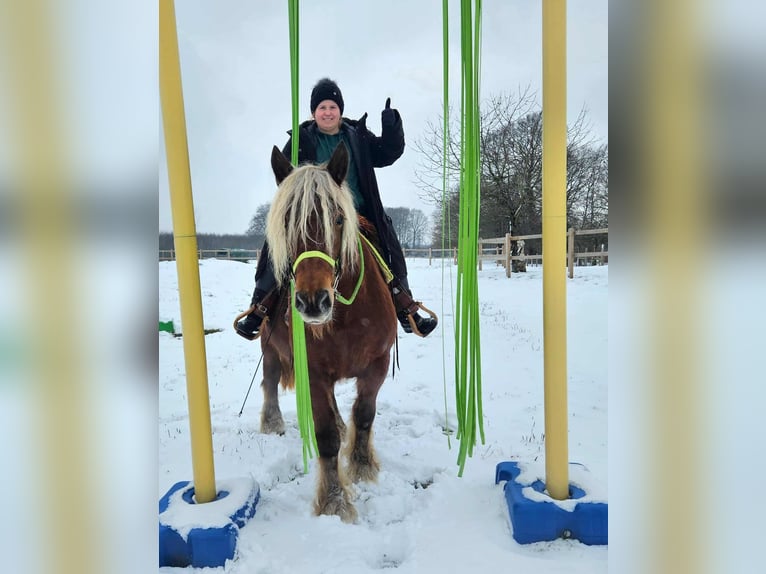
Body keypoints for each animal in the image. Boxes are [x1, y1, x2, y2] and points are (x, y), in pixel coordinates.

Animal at [258, 142, 397, 523]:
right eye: (286, 221)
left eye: (337, 219)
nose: (312, 301)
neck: (345, 315)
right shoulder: (314, 373)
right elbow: (325, 438)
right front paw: (334, 501)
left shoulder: (378, 364)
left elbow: (364, 415)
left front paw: (362, 467)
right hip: (268, 349)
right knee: (270, 380)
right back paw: (272, 422)